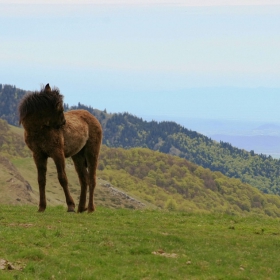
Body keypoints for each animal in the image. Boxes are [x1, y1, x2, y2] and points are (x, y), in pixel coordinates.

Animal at [18, 83, 102, 212]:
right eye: (59, 108)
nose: (63, 122)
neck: (40, 131)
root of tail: (92, 117)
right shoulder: (38, 155)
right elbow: (41, 180)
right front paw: (41, 207)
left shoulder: (57, 153)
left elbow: (62, 178)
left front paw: (70, 206)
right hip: (78, 156)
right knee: (84, 180)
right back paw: (81, 208)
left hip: (92, 152)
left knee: (92, 179)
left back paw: (90, 209)